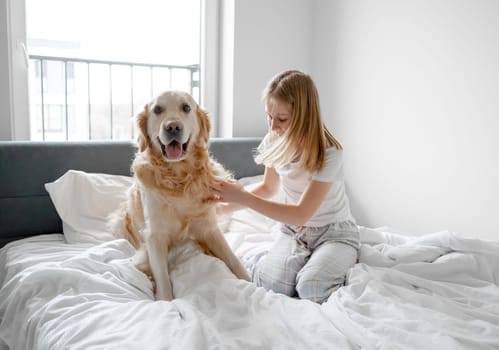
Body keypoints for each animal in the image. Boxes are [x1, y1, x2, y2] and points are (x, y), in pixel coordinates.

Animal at [109, 90, 250, 300]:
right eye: (157, 109)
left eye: (186, 107)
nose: (173, 127)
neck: (178, 179)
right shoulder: (155, 235)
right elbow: (162, 277)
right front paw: (165, 301)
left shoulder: (208, 226)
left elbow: (233, 259)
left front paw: (252, 281)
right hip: (119, 221)